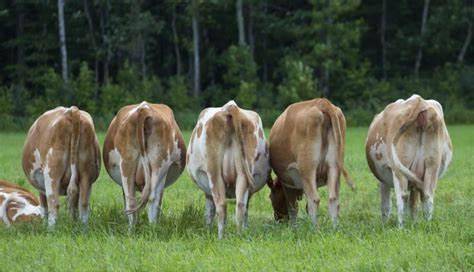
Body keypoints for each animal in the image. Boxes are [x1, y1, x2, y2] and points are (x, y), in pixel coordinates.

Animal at [188, 101, 270, 239]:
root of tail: (231, 107)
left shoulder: (207, 190)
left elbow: (209, 211)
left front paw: (208, 230)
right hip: (243, 173)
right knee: (240, 205)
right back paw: (239, 235)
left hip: (214, 172)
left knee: (221, 205)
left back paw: (220, 238)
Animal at [366, 94, 452, 226]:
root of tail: (419, 101)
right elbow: (414, 204)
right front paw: (414, 223)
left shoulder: (384, 180)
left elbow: (386, 205)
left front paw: (384, 225)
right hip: (432, 165)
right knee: (427, 196)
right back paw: (427, 225)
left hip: (399, 169)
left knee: (402, 197)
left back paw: (400, 228)